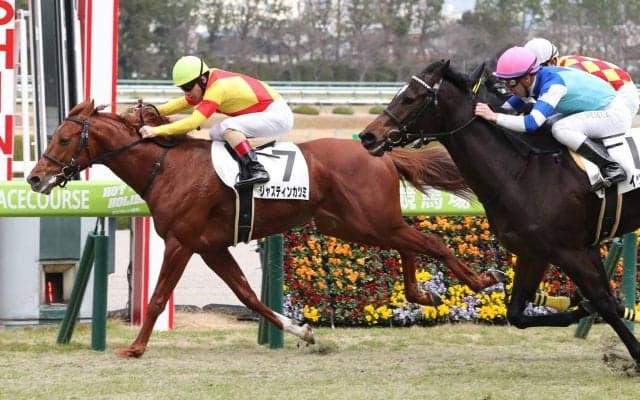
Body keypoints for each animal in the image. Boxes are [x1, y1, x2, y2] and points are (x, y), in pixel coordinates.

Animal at [26, 99, 503, 358]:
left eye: (63, 139)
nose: (34, 178)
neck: (166, 166)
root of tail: (381, 152)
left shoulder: (181, 243)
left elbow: (159, 298)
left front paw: (134, 347)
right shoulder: (211, 247)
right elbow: (249, 297)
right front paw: (302, 331)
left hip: (368, 220)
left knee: (431, 241)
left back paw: (481, 280)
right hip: (355, 225)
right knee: (410, 243)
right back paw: (422, 293)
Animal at [359, 59, 640, 365]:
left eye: (409, 98)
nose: (368, 136)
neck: (521, 172)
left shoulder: (573, 251)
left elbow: (605, 303)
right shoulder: (536, 252)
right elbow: (516, 313)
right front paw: (578, 307)